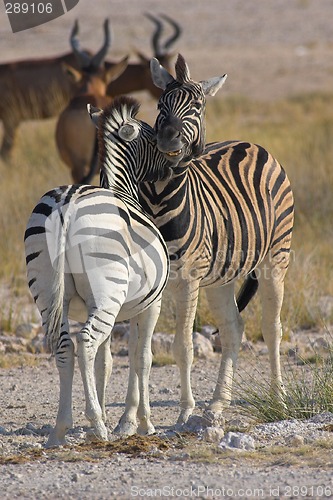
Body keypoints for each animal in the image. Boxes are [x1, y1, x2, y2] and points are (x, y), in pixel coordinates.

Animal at [24, 96, 171, 446]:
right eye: (153, 137)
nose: (173, 167)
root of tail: (67, 202)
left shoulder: (104, 307)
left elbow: (105, 362)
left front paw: (105, 414)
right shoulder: (149, 305)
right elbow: (142, 358)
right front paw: (143, 423)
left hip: (51, 295)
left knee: (65, 346)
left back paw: (61, 429)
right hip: (108, 294)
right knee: (86, 342)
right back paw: (97, 424)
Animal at [137, 54, 294, 424]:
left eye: (196, 107)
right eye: (160, 105)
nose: (168, 140)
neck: (161, 198)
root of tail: (251, 144)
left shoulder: (188, 278)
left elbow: (183, 346)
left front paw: (183, 412)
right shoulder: (153, 278)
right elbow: (144, 350)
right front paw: (134, 420)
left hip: (275, 259)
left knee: (272, 328)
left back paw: (278, 401)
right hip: (222, 274)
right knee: (234, 327)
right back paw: (218, 404)